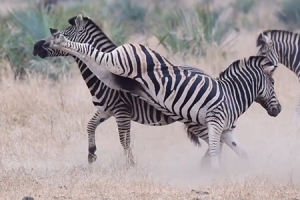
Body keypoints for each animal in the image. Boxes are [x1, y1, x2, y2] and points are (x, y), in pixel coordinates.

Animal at [43, 23, 282, 170]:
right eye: (273, 83)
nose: (39, 46)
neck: (231, 93)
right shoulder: (113, 110)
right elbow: (106, 132)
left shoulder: (116, 110)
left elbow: (233, 150)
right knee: (95, 54)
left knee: (97, 56)